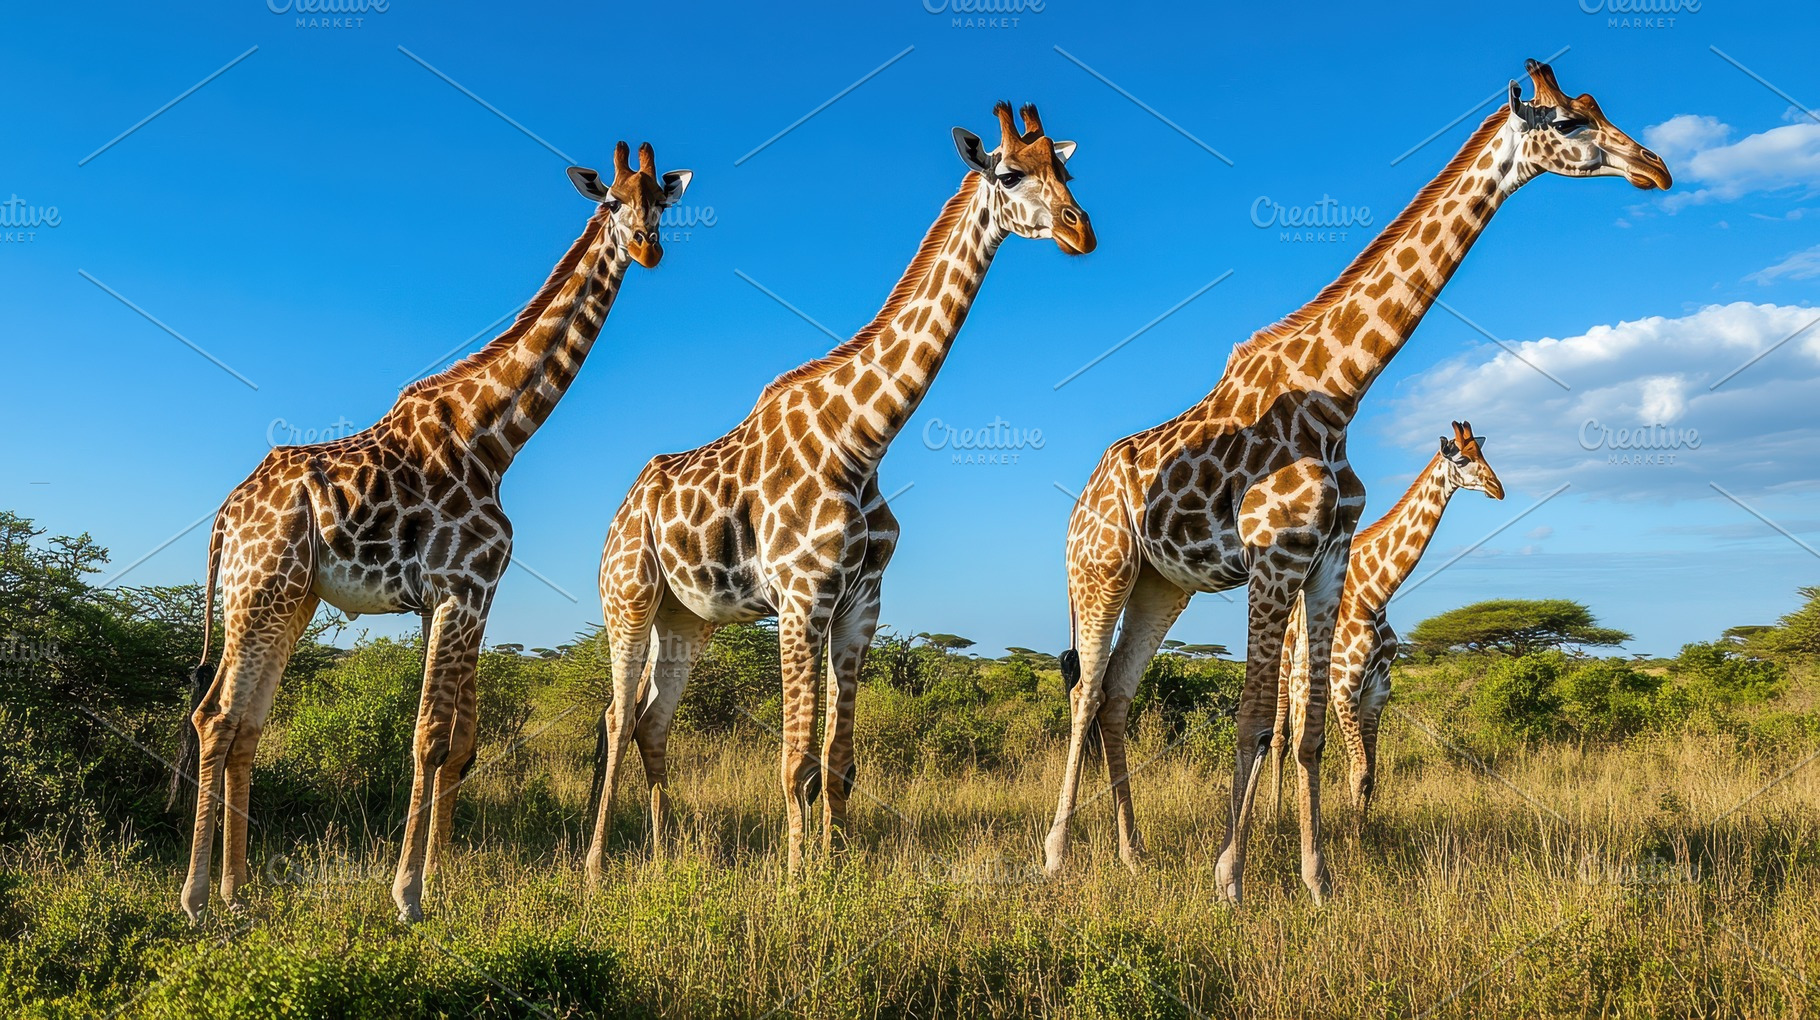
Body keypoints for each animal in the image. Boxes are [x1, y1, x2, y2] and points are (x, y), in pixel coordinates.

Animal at [173, 142, 692, 923]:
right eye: (609, 201)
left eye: (659, 201)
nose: (647, 247)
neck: (495, 436)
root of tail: (226, 516)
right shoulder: (461, 589)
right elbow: (430, 739)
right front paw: (408, 895)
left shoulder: (452, 600)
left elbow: (457, 740)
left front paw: (434, 880)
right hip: (258, 591)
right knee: (215, 718)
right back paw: (198, 898)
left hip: (291, 600)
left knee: (248, 724)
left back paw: (238, 893)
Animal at [585, 103, 1094, 882]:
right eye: (1009, 173)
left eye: (1066, 168)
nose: (1080, 229)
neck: (863, 438)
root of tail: (618, 514)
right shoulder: (801, 598)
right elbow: (795, 761)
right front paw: (797, 884)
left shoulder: (860, 605)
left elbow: (839, 761)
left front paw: (836, 869)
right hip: (630, 599)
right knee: (616, 719)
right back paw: (592, 868)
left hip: (688, 619)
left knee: (651, 723)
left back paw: (666, 857)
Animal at [1269, 421, 1504, 830]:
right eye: (1462, 458)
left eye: (1484, 453)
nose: (1498, 488)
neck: (1374, 594)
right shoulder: (1344, 687)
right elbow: (1359, 770)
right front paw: (1352, 837)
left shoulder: (1377, 690)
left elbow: (1370, 775)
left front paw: (1362, 830)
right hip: (1285, 677)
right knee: (1280, 741)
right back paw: (1273, 813)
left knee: (1303, 744)